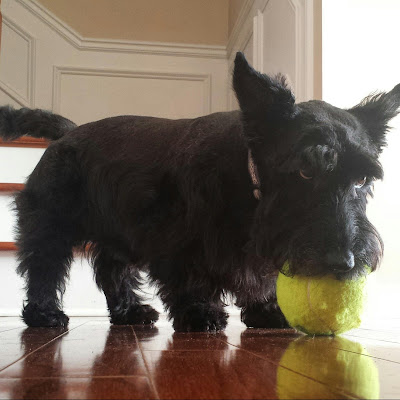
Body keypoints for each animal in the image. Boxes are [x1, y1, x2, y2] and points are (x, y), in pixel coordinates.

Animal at [0, 52, 399, 331]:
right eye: (304, 171)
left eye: (361, 180)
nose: (344, 263)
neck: (247, 177)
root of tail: (68, 132)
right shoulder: (178, 241)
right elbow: (189, 277)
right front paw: (199, 313)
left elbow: (261, 278)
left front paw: (268, 310)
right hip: (50, 227)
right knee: (43, 267)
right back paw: (45, 315)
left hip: (118, 235)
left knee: (112, 271)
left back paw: (131, 311)